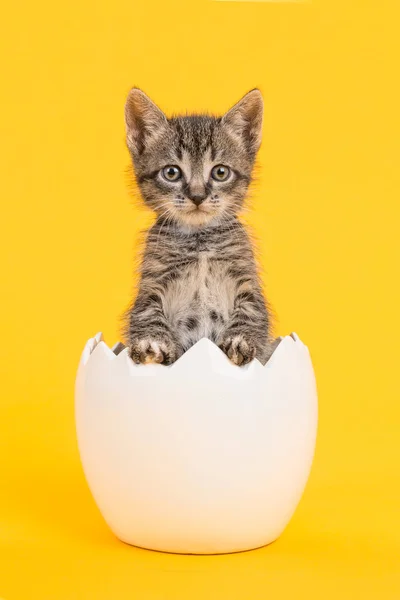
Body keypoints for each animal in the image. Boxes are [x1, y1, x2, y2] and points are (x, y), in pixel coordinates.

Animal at [125, 86, 276, 364]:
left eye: (220, 172)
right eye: (171, 172)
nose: (197, 196)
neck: (199, 239)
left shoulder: (247, 280)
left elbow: (251, 311)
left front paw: (240, 340)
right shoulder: (152, 280)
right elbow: (146, 311)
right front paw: (151, 342)